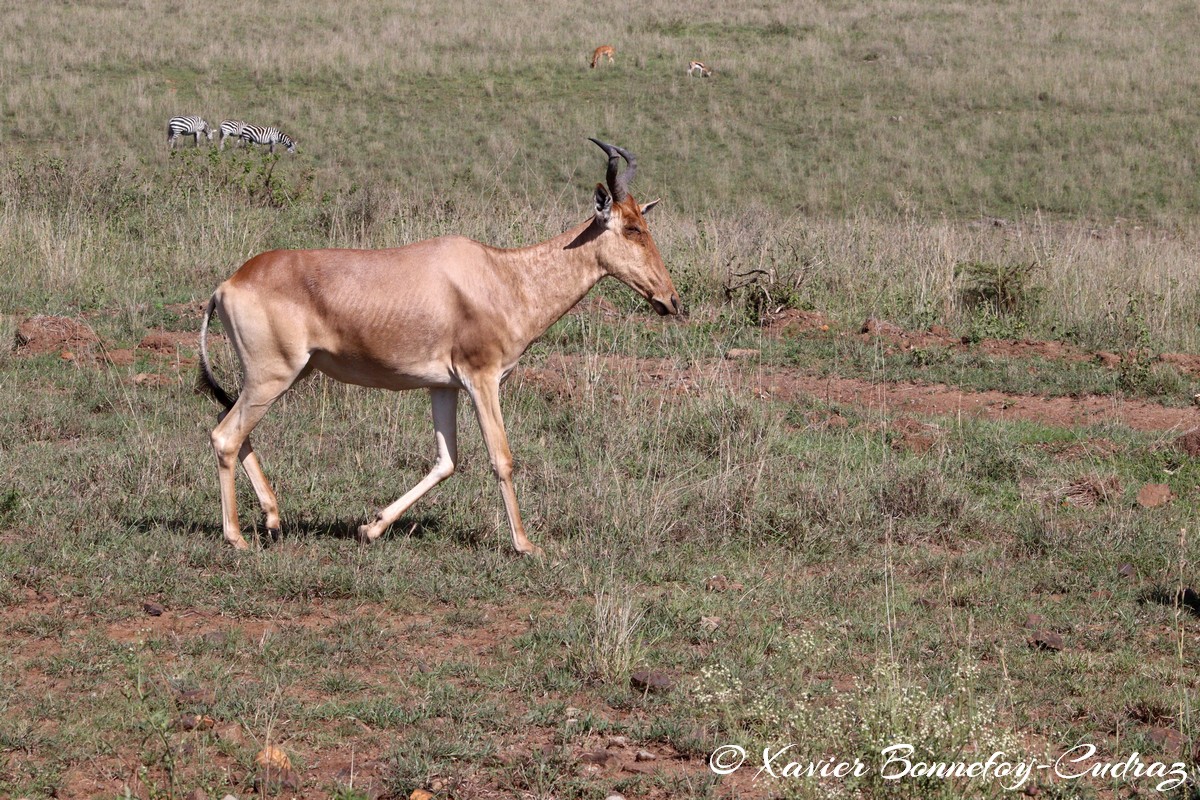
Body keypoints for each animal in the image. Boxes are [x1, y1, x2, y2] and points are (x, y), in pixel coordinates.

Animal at [201, 137, 681, 554]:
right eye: (631, 228)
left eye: (646, 223)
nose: (671, 301)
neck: (502, 274)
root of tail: (228, 285)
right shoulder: (482, 379)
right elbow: (501, 457)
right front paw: (525, 545)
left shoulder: (443, 386)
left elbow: (446, 461)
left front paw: (370, 528)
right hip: (273, 376)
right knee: (225, 436)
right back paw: (237, 537)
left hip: (289, 374)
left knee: (233, 428)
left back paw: (273, 518)